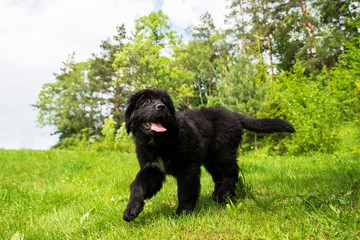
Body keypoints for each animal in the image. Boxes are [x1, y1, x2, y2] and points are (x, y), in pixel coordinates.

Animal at [122, 88, 294, 221]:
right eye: (145, 101)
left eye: (164, 101)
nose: (161, 107)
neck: (158, 143)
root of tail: (233, 114)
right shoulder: (152, 169)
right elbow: (137, 185)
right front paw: (131, 210)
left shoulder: (187, 167)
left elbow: (185, 191)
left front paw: (182, 213)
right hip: (210, 160)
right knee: (219, 176)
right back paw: (219, 195)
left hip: (223, 152)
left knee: (231, 172)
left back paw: (224, 194)